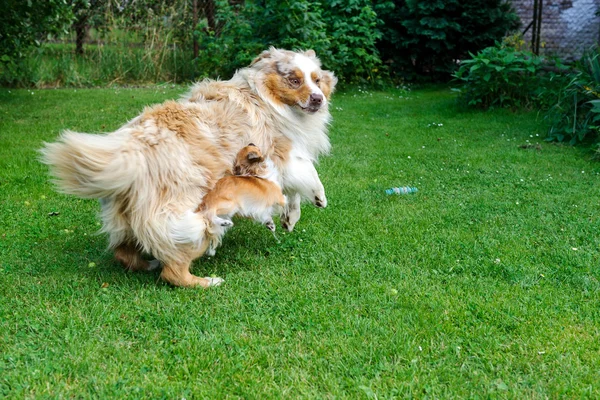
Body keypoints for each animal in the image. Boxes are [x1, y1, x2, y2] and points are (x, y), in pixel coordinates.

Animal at [41, 47, 336, 288]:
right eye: (294, 80)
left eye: (317, 80)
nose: (318, 99)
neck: (263, 95)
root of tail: (133, 149)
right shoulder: (284, 151)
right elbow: (307, 175)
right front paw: (318, 199)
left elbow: (291, 192)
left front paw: (290, 219)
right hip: (187, 220)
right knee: (174, 271)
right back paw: (208, 280)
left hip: (123, 217)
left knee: (123, 253)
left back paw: (148, 263)